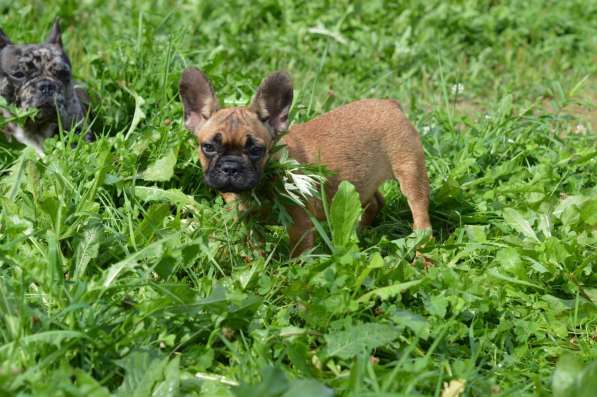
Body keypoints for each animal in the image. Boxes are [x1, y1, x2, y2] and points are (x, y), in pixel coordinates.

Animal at [177, 67, 428, 254]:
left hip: (410, 172)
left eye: (257, 150)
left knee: (420, 213)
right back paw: (359, 231)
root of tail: (391, 104)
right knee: (374, 202)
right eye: (208, 147)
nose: (230, 167)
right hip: (362, 180)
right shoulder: (247, 221)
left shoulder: (299, 226)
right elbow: (255, 247)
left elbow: (298, 254)